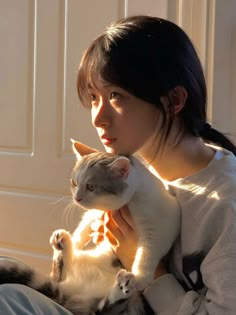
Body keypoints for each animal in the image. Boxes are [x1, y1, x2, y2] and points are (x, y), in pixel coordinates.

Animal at [0, 141, 179, 315]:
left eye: (91, 187)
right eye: (74, 183)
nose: (77, 198)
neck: (132, 199)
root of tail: (71, 294)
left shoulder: (162, 224)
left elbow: (148, 251)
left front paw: (141, 276)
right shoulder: (96, 213)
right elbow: (84, 224)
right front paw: (76, 240)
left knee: (105, 309)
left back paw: (123, 288)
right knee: (61, 275)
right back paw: (62, 245)